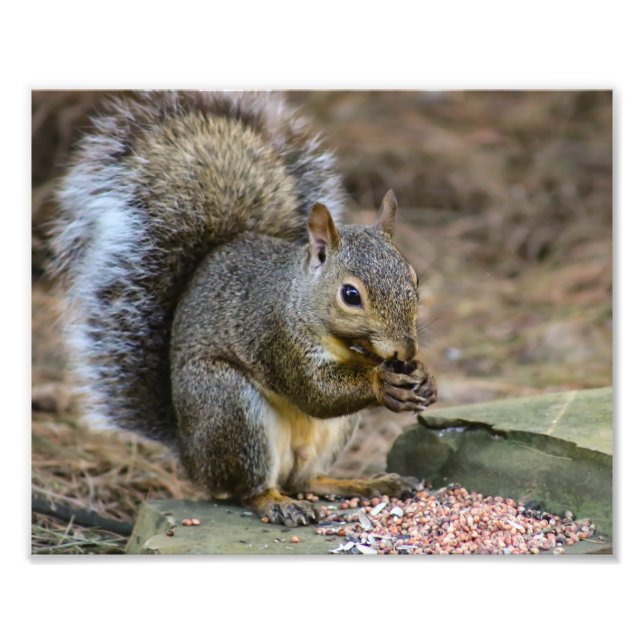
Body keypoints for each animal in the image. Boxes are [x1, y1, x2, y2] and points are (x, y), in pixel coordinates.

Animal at [50, 91, 438, 527]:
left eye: (415, 278)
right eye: (351, 295)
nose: (405, 351)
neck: (301, 299)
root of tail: (191, 456)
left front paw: (424, 379)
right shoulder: (276, 334)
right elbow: (314, 392)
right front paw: (380, 381)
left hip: (328, 434)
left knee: (305, 479)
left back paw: (363, 483)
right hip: (231, 408)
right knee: (248, 487)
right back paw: (277, 503)